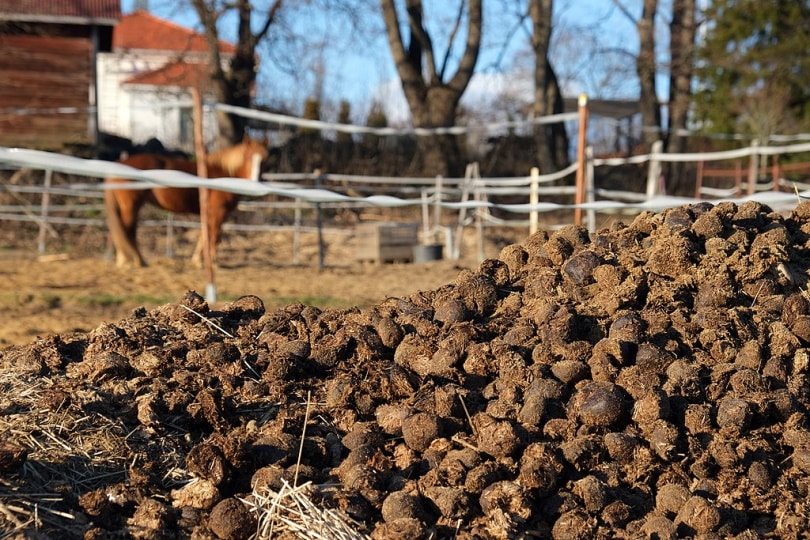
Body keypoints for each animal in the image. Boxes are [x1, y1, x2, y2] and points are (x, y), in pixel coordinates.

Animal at [104, 136, 268, 268]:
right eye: (248, 157)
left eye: (265, 159)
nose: (255, 183)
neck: (225, 174)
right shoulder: (219, 212)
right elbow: (214, 236)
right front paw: (212, 263)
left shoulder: (209, 213)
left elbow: (204, 235)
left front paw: (197, 261)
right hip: (131, 206)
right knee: (127, 230)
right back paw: (133, 261)